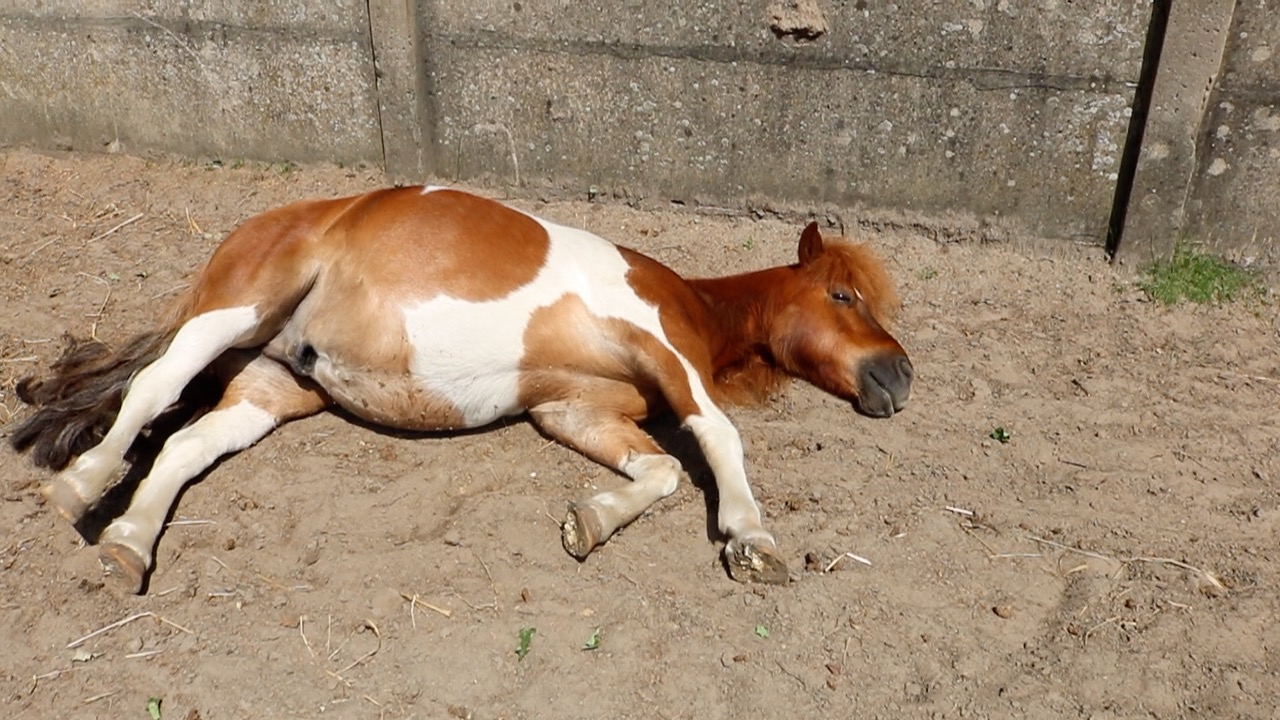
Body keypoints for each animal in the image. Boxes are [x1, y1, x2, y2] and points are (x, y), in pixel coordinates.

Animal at [10, 184, 911, 589]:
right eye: (844, 295)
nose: (900, 374)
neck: (687, 300)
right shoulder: (661, 351)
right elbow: (718, 437)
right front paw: (752, 540)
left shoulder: (570, 410)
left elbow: (654, 470)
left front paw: (590, 522)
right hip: (236, 310)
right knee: (152, 388)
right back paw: (80, 486)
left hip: (274, 386)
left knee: (185, 445)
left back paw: (129, 545)